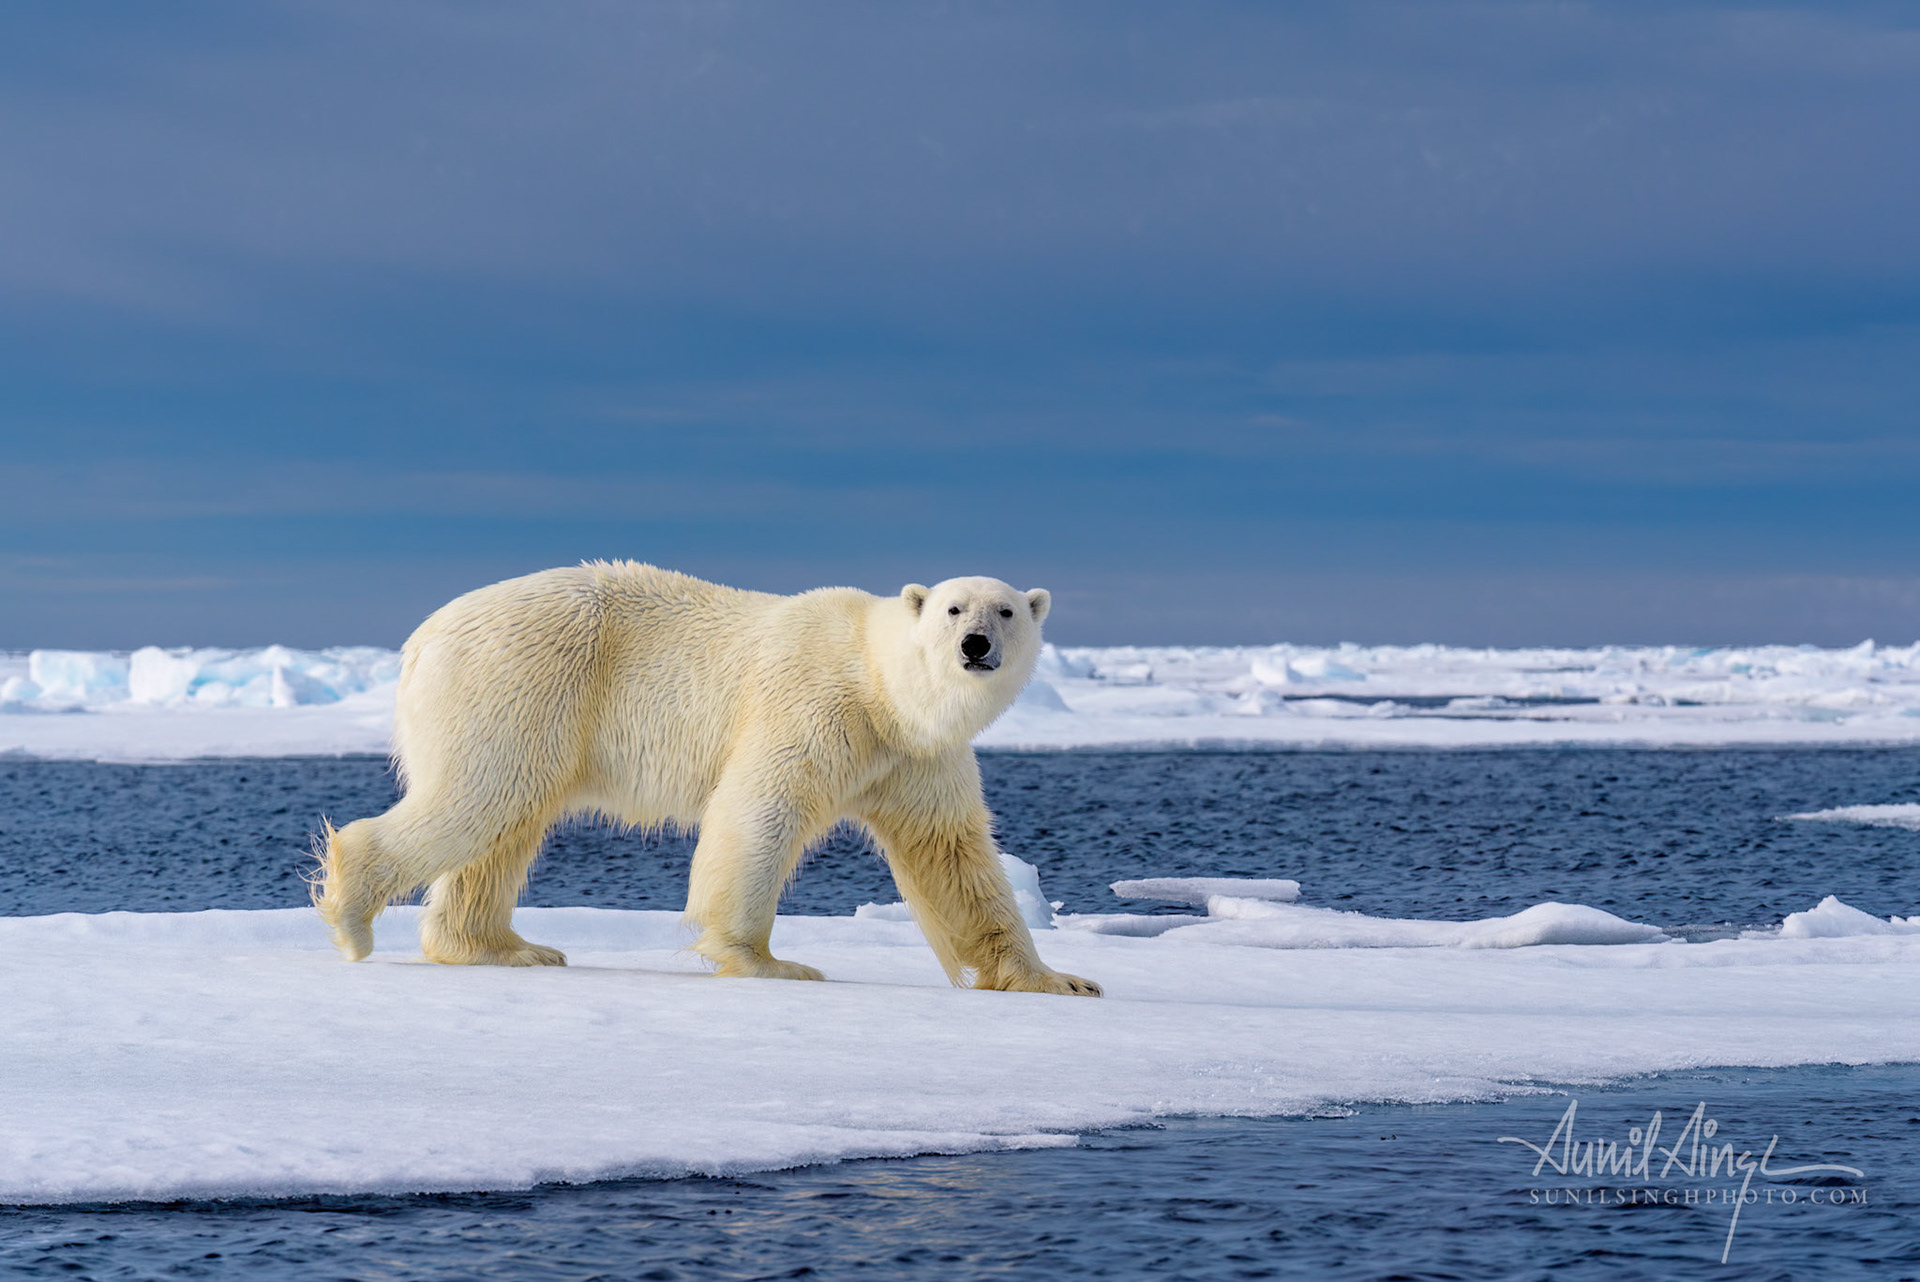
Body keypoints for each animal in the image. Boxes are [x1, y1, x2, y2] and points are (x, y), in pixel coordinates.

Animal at [312, 561, 1101, 997]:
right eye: (952, 608)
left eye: (1006, 609)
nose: (976, 645)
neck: (881, 686)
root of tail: (421, 640)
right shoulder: (816, 706)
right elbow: (761, 808)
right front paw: (768, 962)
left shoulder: (916, 758)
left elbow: (954, 856)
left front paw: (1061, 978)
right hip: (524, 680)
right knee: (480, 796)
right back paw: (353, 912)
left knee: (505, 823)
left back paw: (505, 947)